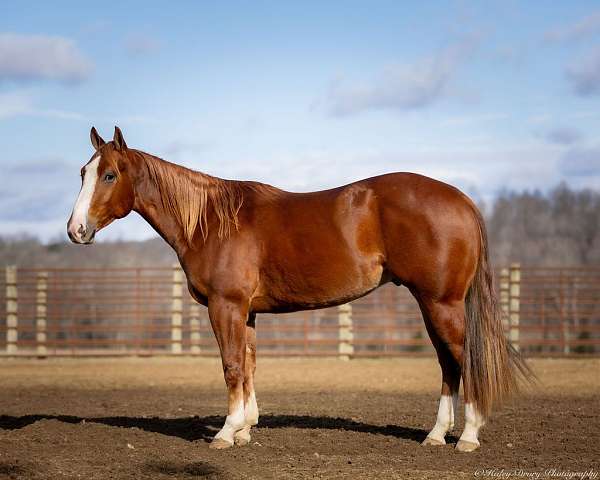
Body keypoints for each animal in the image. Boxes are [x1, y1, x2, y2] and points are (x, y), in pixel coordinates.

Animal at [68, 125, 532, 452]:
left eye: (109, 175)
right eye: (83, 172)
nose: (76, 230)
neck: (211, 222)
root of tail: (463, 200)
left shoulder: (225, 306)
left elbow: (231, 366)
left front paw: (226, 432)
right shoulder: (248, 312)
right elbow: (249, 365)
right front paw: (245, 429)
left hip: (441, 303)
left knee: (464, 358)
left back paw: (468, 437)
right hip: (430, 303)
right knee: (448, 364)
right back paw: (436, 435)